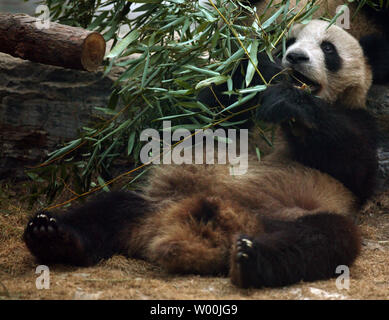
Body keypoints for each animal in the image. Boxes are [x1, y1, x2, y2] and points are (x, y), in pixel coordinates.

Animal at [23, 20, 388, 290]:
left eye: (328, 48)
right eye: (288, 42)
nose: (296, 57)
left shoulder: (359, 121)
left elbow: (356, 168)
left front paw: (289, 101)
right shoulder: (227, 112)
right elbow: (189, 121)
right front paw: (250, 61)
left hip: (293, 214)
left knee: (323, 239)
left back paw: (251, 260)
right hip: (153, 204)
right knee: (107, 209)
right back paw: (52, 236)